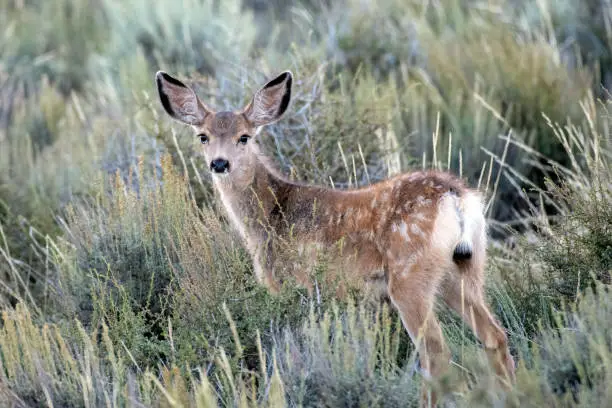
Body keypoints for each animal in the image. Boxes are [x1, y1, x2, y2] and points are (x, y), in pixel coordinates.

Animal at [155, 70, 512, 404]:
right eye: (203, 136)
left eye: (244, 137)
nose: (219, 163)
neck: (271, 214)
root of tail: (456, 196)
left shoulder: (292, 284)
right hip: (464, 268)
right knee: (495, 336)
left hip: (409, 275)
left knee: (436, 353)